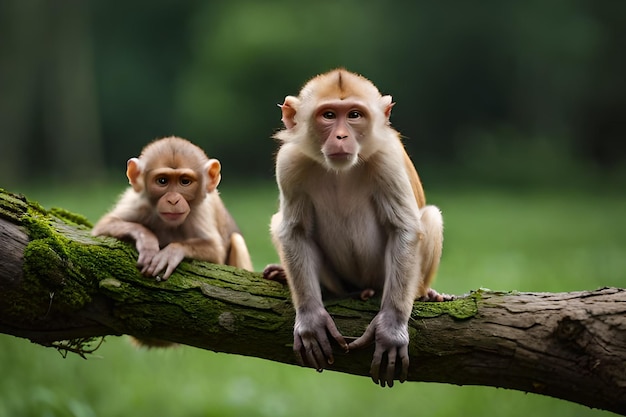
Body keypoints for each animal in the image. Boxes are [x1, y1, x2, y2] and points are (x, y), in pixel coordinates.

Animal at [91, 136, 252, 280]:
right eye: (162, 181)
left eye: (185, 181)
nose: (173, 200)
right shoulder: (139, 204)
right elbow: (103, 226)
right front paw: (147, 239)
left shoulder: (201, 211)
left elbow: (215, 251)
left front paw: (173, 251)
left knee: (237, 240)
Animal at [264, 67, 448, 386]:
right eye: (328, 115)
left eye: (354, 115)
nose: (341, 136)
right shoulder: (290, 163)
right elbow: (294, 230)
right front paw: (311, 320)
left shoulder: (387, 159)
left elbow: (404, 229)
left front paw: (391, 328)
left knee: (430, 218)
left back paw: (416, 294)